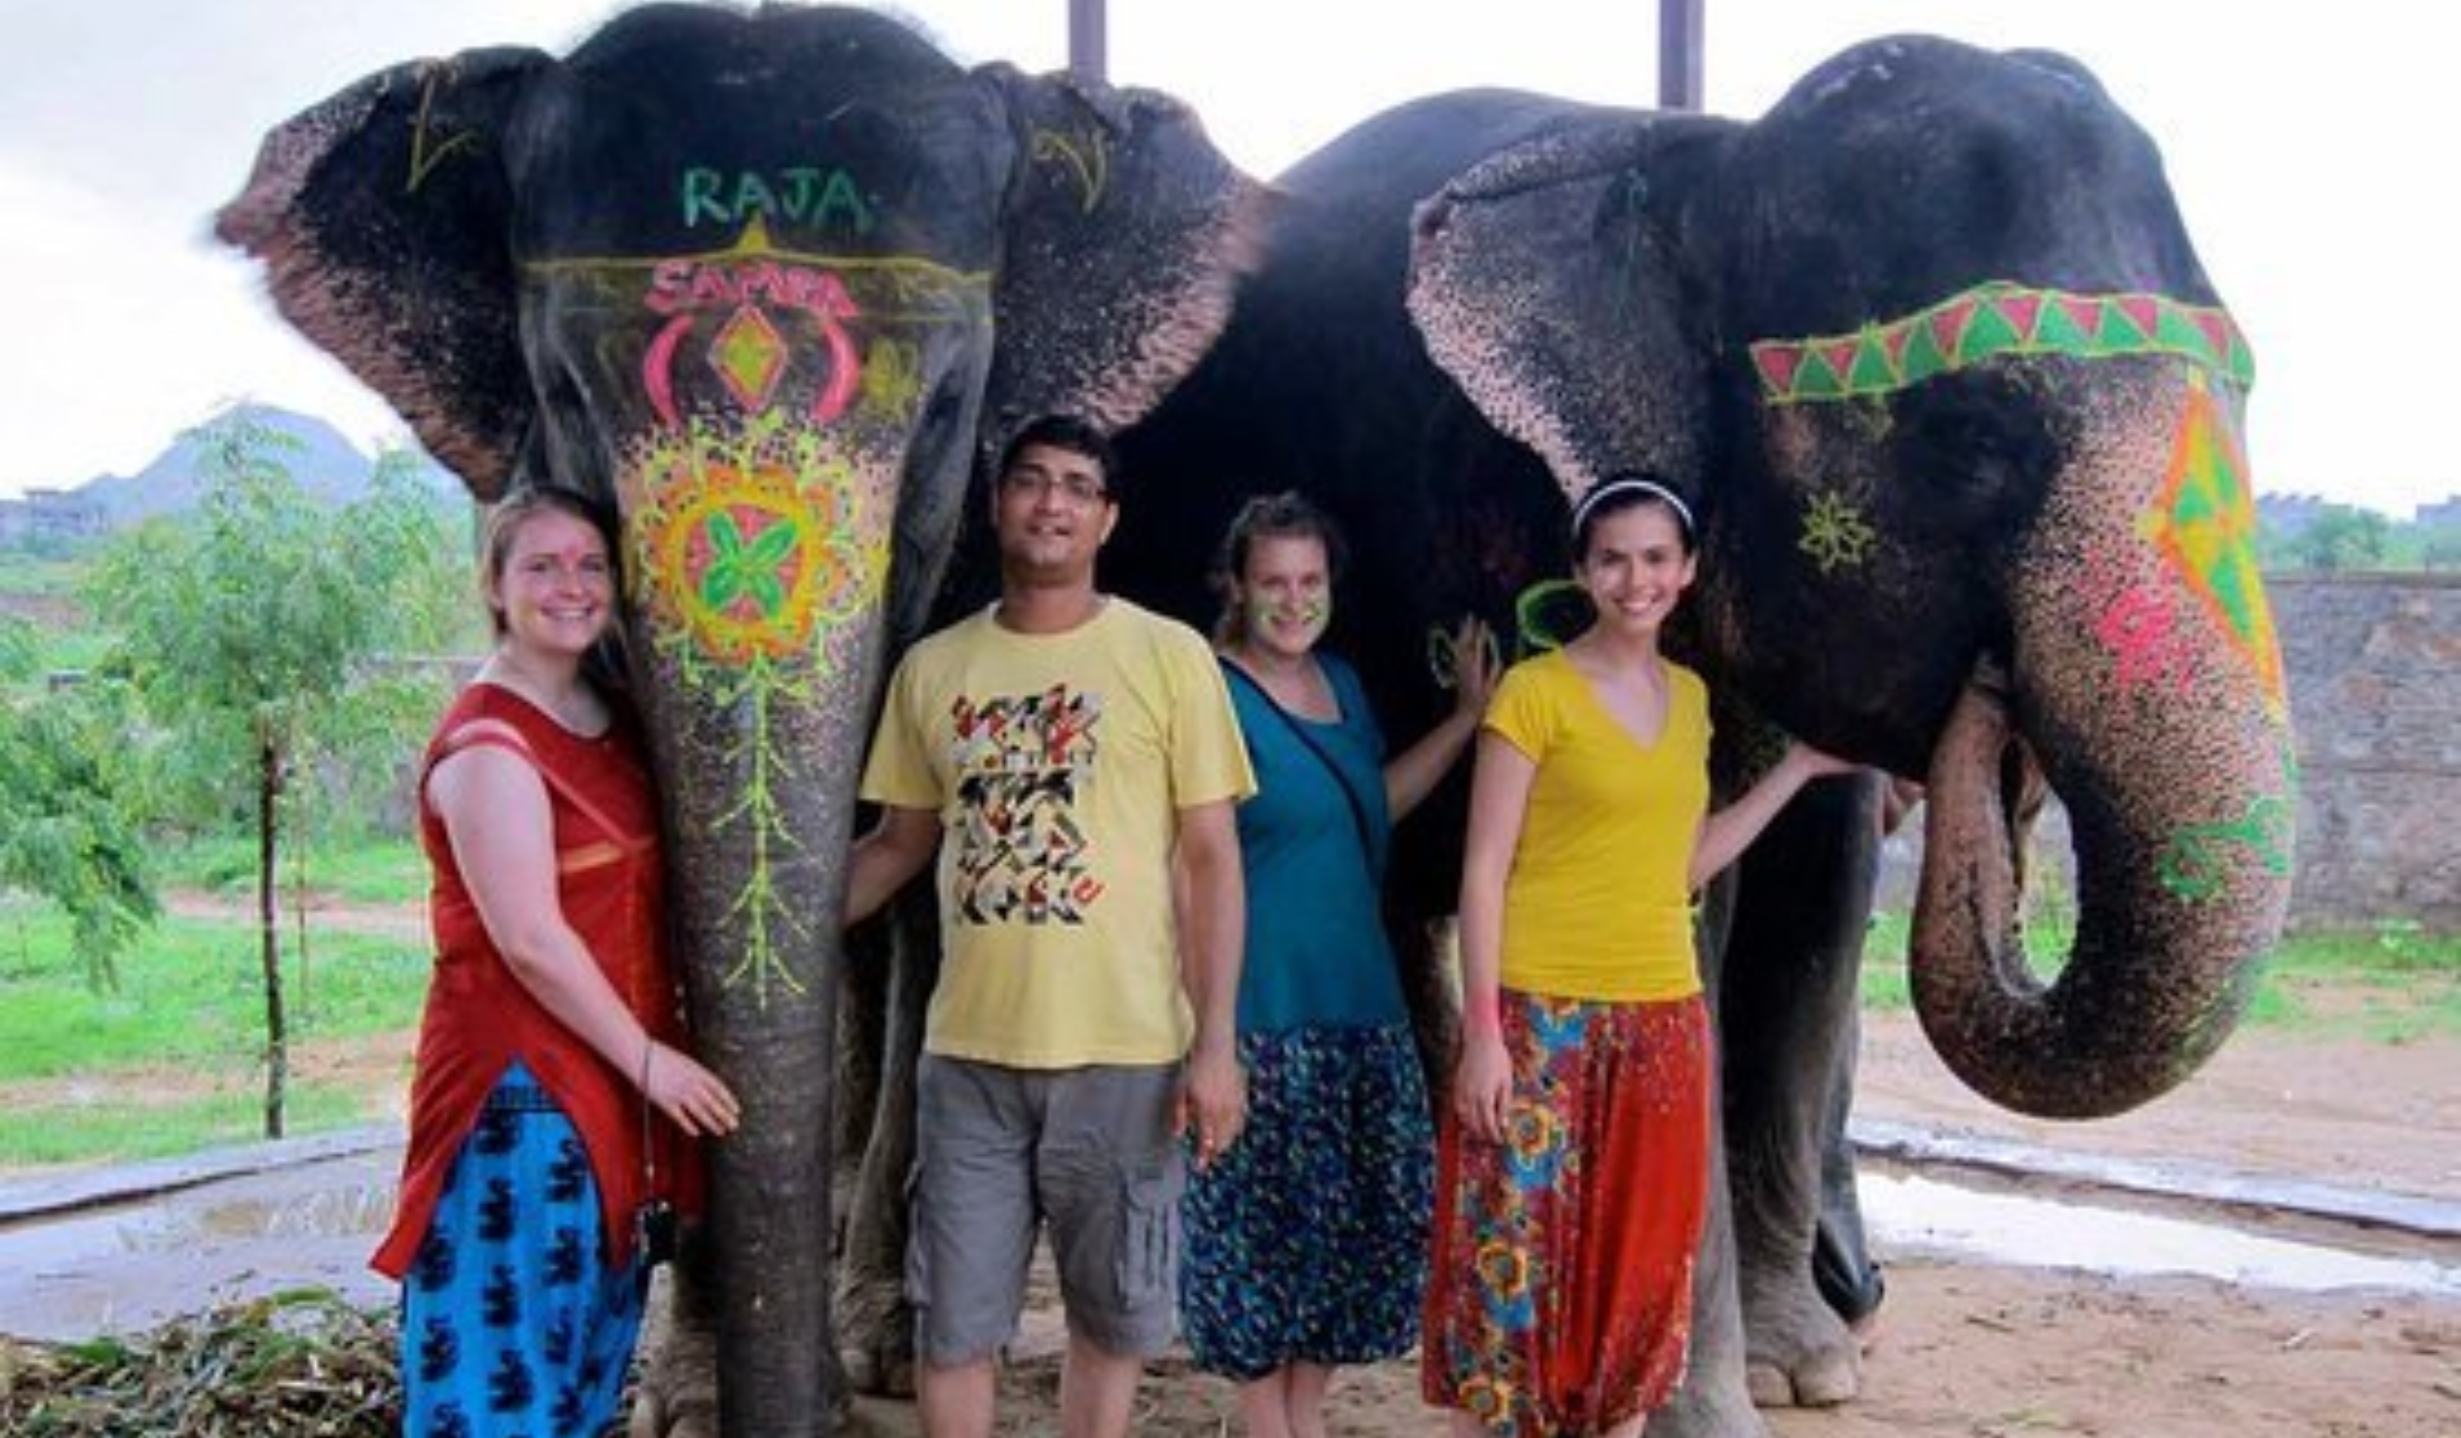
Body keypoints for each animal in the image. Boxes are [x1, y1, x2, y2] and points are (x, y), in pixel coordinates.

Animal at [214, 5, 1269, 1428]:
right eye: (560, 394)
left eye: (950, 410)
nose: (801, 1410)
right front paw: (698, 1398)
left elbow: (920, 889)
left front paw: (885, 1349)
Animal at [1107, 33, 2293, 1438]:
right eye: (1971, 434)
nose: (1991, 718)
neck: (1707, 161)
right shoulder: (1522, 514)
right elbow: (1686, 928)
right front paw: (1711, 1405)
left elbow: (1812, 917)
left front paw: (1810, 1373)